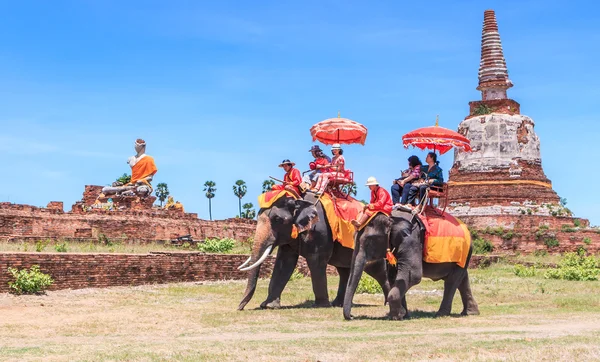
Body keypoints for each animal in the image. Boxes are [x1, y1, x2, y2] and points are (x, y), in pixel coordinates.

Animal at [237, 194, 392, 310]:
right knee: (344, 271)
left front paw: (321, 305)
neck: (298, 198)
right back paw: (338, 304)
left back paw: (387, 303)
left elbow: (316, 261)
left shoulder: (319, 231)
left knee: (377, 270)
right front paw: (268, 306)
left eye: (277, 219)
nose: (239, 308)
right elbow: (284, 263)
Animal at [344, 212, 480, 320]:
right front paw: (403, 314)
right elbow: (394, 276)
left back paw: (440, 314)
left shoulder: (410, 239)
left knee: (452, 281)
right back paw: (470, 313)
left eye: (369, 241)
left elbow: (413, 275)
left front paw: (398, 315)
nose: (352, 316)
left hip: (464, 252)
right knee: (461, 278)